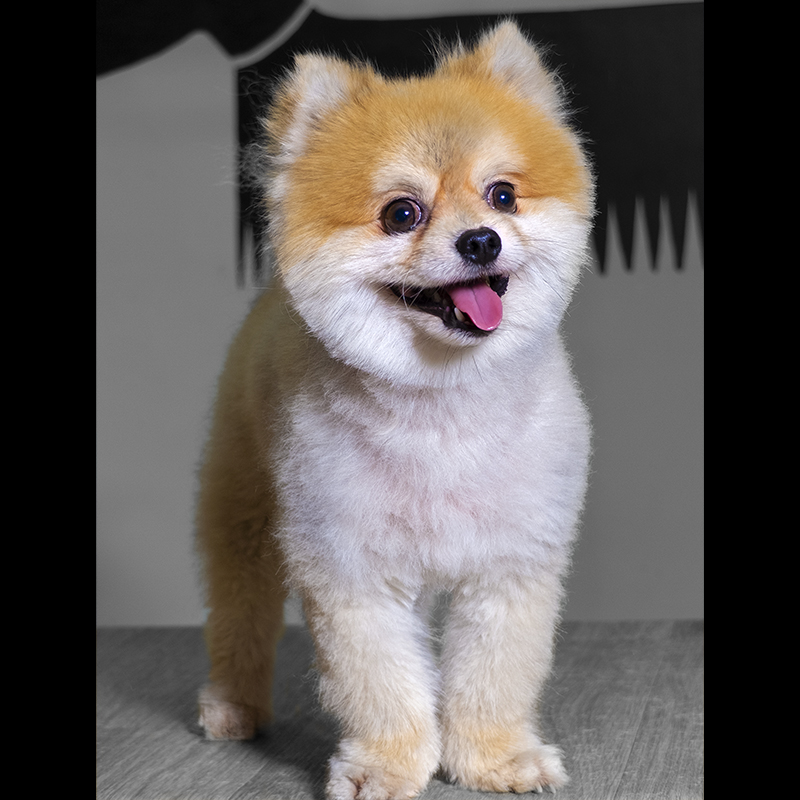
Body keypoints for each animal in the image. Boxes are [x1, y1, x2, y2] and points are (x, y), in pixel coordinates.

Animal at [195, 21, 593, 798]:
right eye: (401, 214)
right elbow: (378, 680)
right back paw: (232, 704)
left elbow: (495, 674)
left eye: (503, 195)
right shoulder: (350, 568)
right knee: (239, 610)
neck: (441, 409)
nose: (481, 240)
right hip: (244, 514)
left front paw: (494, 758)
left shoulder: (509, 564)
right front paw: (387, 763)